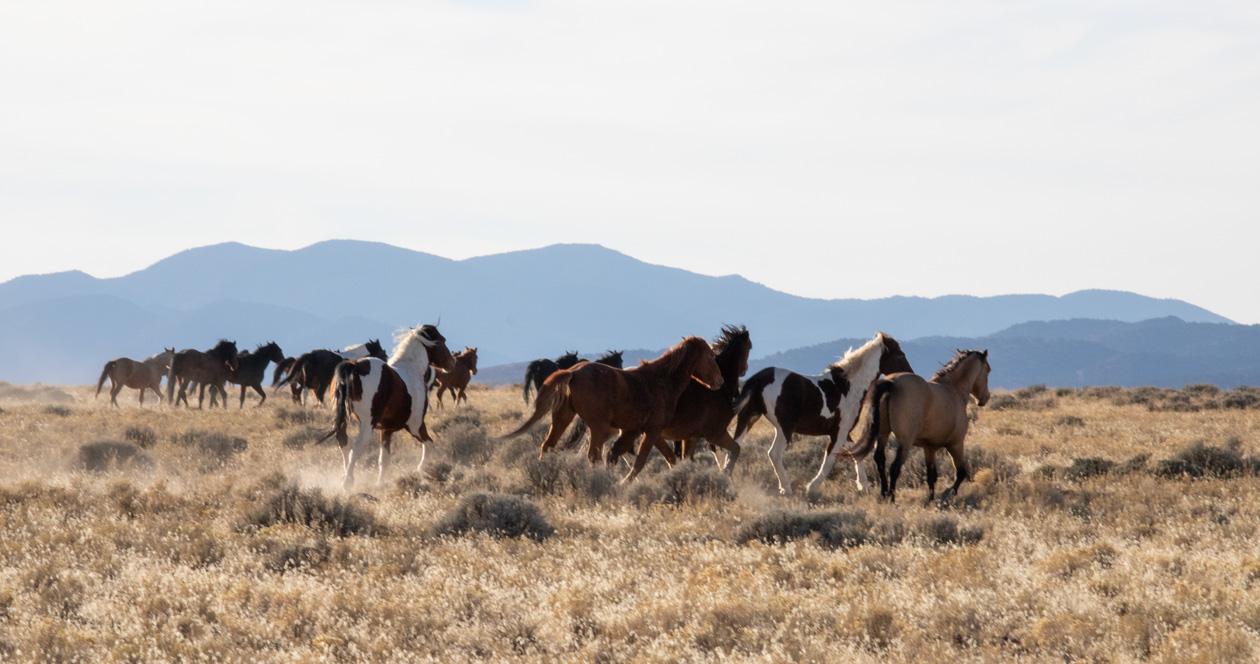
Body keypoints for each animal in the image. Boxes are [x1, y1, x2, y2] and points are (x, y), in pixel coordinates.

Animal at [320, 325, 456, 490]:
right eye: (442, 340)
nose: (452, 363)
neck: (412, 369)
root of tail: (354, 366)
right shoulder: (416, 425)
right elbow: (429, 444)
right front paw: (420, 470)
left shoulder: (386, 430)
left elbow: (384, 459)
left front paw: (380, 483)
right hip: (367, 423)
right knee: (356, 448)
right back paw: (348, 482)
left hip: (344, 419)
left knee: (344, 443)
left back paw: (345, 476)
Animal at [503, 336, 724, 483]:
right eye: (710, 356)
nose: (720, 382)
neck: (662, 381)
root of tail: (573, 372)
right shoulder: (651, 431)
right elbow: (639, 461)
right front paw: (623, 483)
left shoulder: (644, 431)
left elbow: (667, 458)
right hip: (597, 427)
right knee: (592, 456)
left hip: (563, 417)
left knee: (548, 445)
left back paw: (544, 471)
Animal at [612, 326, 753, 473]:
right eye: (749, 347)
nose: (745, 369)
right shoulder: (715, 434)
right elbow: (735, 450)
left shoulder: (691, 437)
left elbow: (686, 457)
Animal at [731, 333, 913, 495]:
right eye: (900, 354)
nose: (910, 374)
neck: (848, 387)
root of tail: (759, 378)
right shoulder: (838, 433)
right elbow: (830, 460)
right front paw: (812, 487)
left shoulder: (844, 432)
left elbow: (855, 455)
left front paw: (863, 486)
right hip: (784, 428)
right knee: (774, 454)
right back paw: (786, 488)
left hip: (748, 418)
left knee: (735, 446)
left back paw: (727, 482)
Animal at [842, 349, 991, 504]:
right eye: (988, 370)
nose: (985, 398)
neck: (953, 390)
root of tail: (892, 382)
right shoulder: (955, 444)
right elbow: (961, 472)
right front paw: (946, 495)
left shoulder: (929, 448)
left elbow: (931, 475)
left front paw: (931, 500)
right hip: (905, 441)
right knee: (895, 467)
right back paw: (892, 498)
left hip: (883, 434)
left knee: (880, 460)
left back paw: (883, 494)